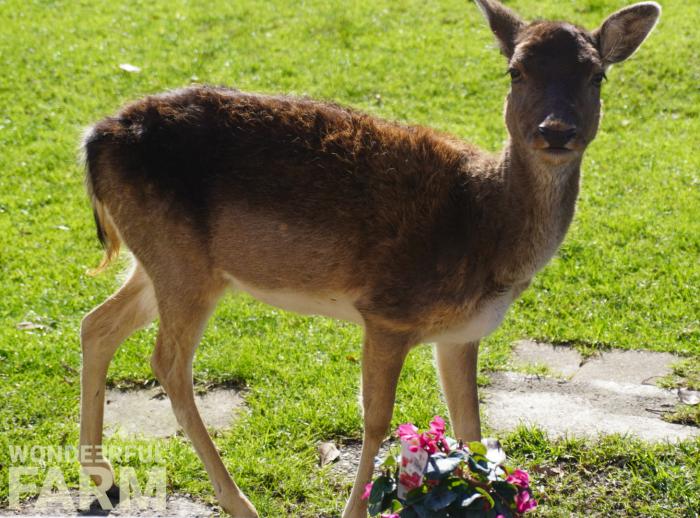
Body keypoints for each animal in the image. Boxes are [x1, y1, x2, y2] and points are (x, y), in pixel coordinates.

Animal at [78, 2, 660, 516]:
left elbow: (470, 424)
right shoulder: (388, 313)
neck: (486, 227)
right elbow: (378, 420)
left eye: (597, 75)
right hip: (183, 267)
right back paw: (238, 503)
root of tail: (92, 140)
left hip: (162, 261)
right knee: (167, 362)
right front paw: (355, 508)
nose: (556, 130)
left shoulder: (462, 334)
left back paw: (102, 477)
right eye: (515, 70)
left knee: (97, 323)